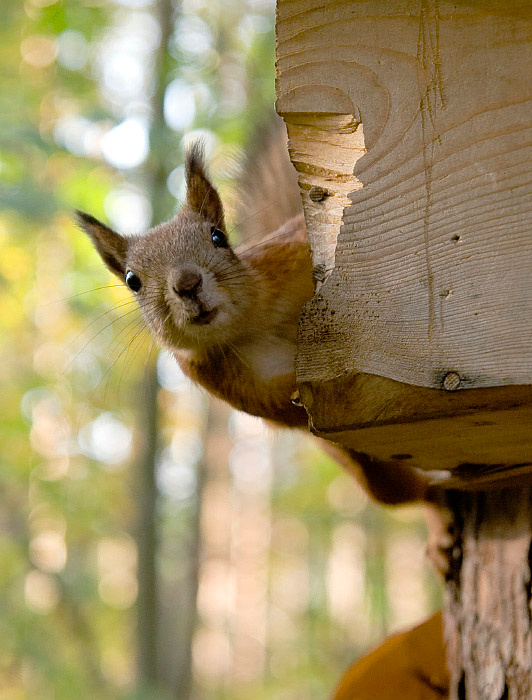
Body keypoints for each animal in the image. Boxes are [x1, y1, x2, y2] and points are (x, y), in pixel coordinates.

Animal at [76, 121, 440, 508]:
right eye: (132, 280)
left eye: (218, 237)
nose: (188, 284)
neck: (252, 327)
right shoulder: (226, 382)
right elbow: (290, 410)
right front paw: (301, 388)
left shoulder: (286, 254)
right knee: (397, 492)